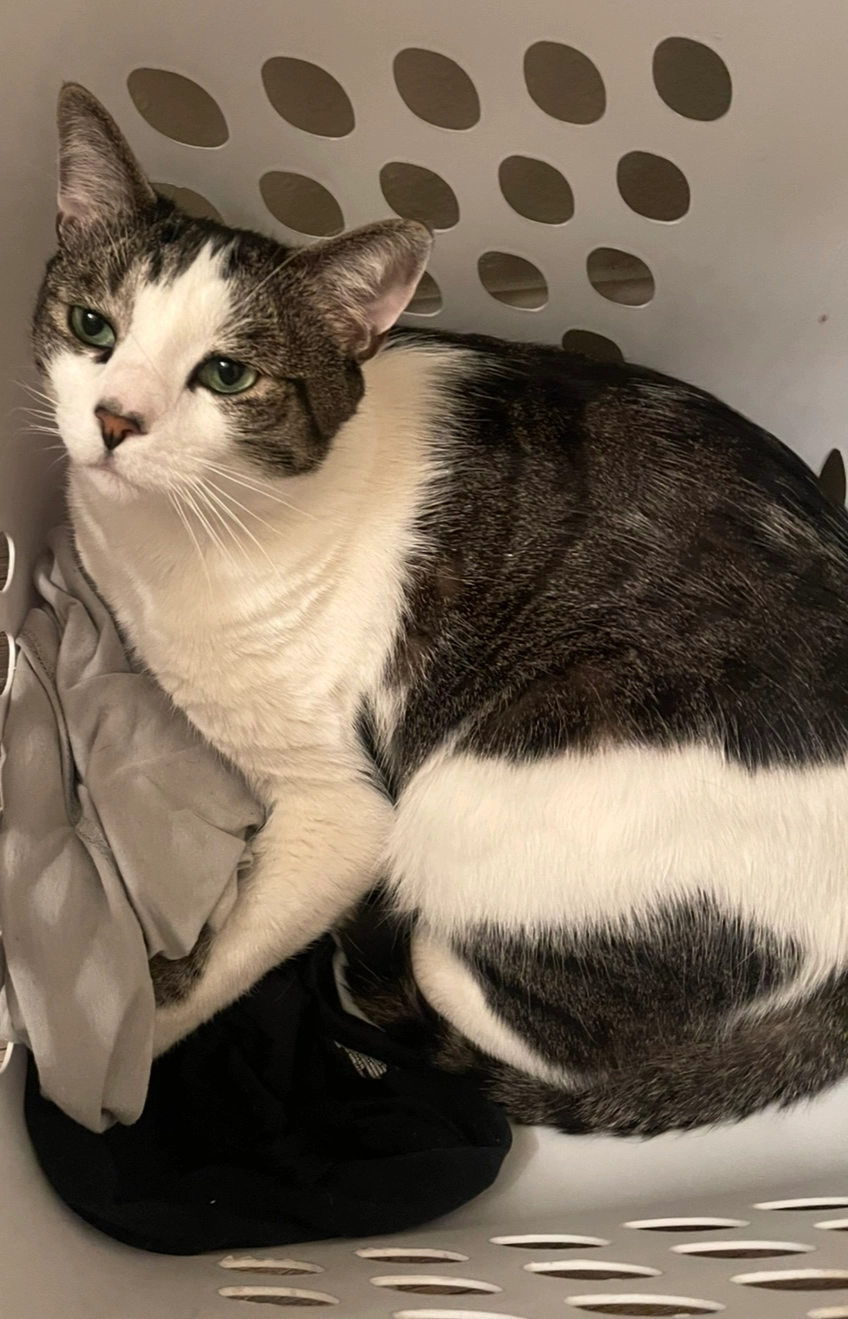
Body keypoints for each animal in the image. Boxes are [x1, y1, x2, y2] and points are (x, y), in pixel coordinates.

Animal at [33, 82, 848, 1136]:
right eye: (94, 326)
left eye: (226, 375)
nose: (114, 419)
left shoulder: (344, 812)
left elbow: (209, 970)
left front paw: (123, 1051)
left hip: (472, 800)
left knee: (528, 1020)